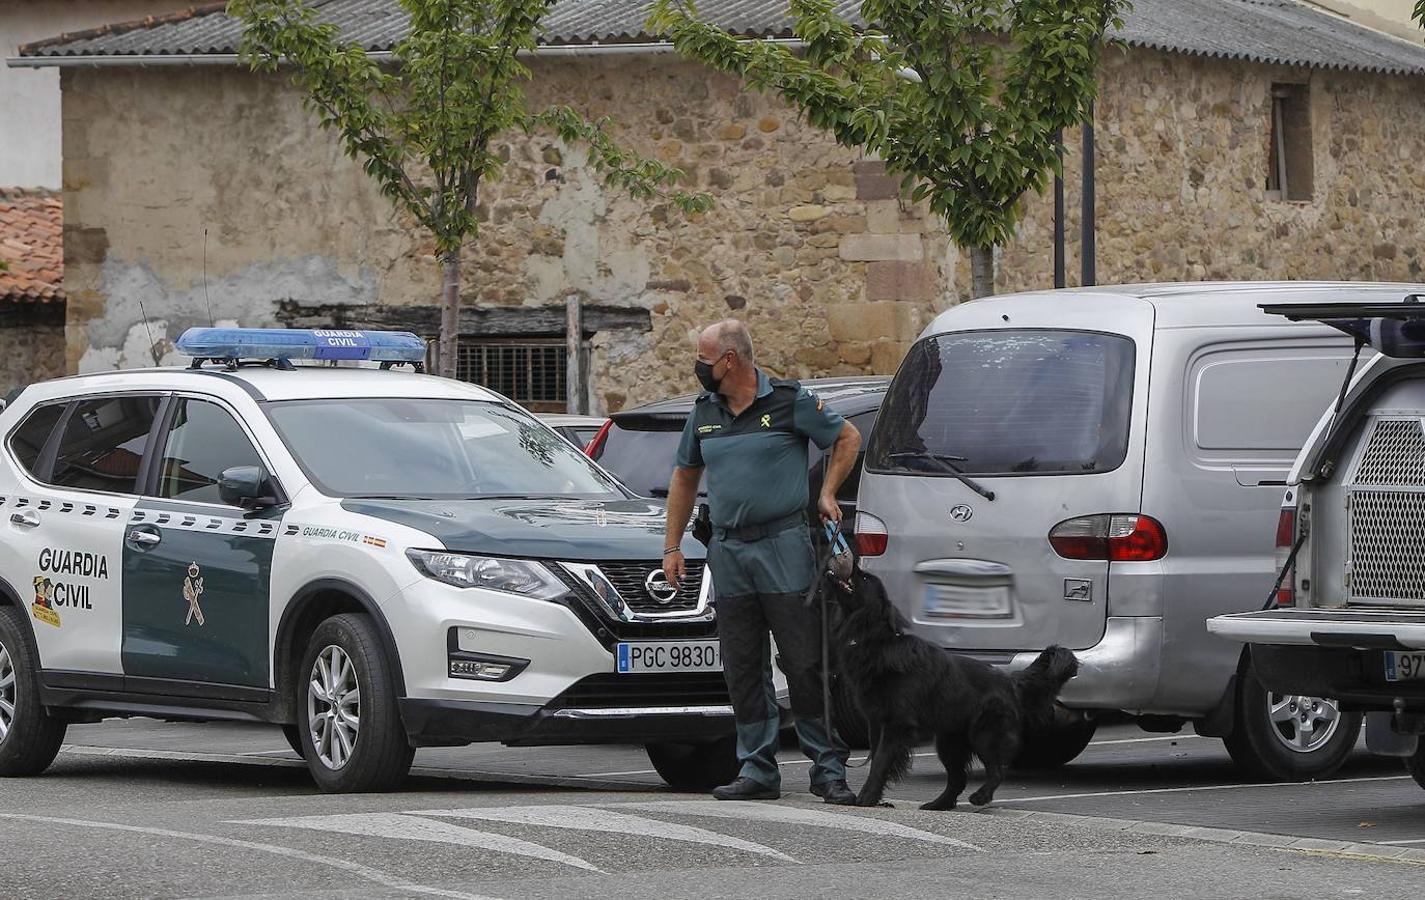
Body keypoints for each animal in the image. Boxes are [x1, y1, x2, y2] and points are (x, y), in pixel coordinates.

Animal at [826, 572, 1077, 814]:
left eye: (864, 578)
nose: (848, 564)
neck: (876, 642)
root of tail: (1009, 680)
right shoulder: (876, 724)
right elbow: (877, 759)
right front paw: (874, 798)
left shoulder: (895, 725)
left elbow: (879, 762)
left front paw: (866, 799)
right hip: (949, 742)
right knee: (959, 779)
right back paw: (939, 804)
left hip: (983, 735)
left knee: (997, 771)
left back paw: (980, 797)